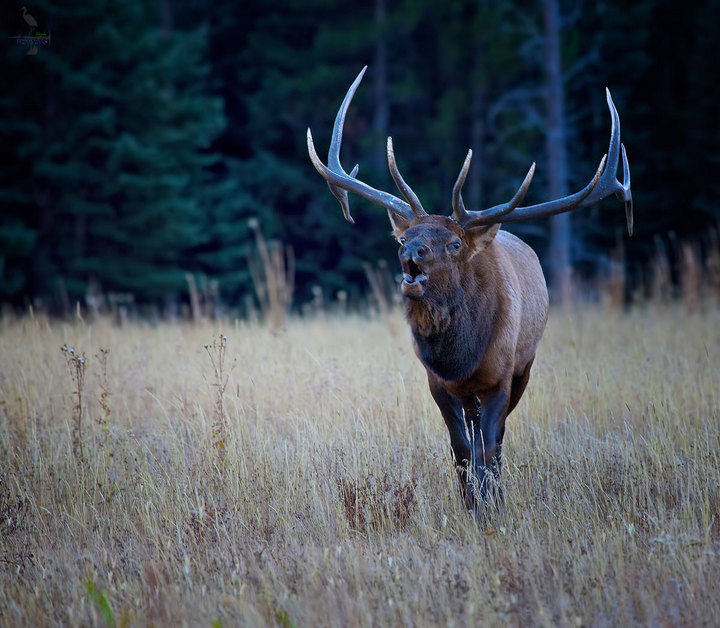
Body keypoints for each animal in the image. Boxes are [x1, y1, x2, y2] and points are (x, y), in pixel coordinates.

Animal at [307, 67, 632, 515]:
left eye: (454, 243)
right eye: (403, 236)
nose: (411, 251)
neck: (460, 357)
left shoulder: (501, 375)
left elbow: (488, 449)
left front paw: (489, 507)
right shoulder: (438, 383)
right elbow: (460, 449)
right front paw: (469, 505)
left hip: (525, 366)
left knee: (498, 439)